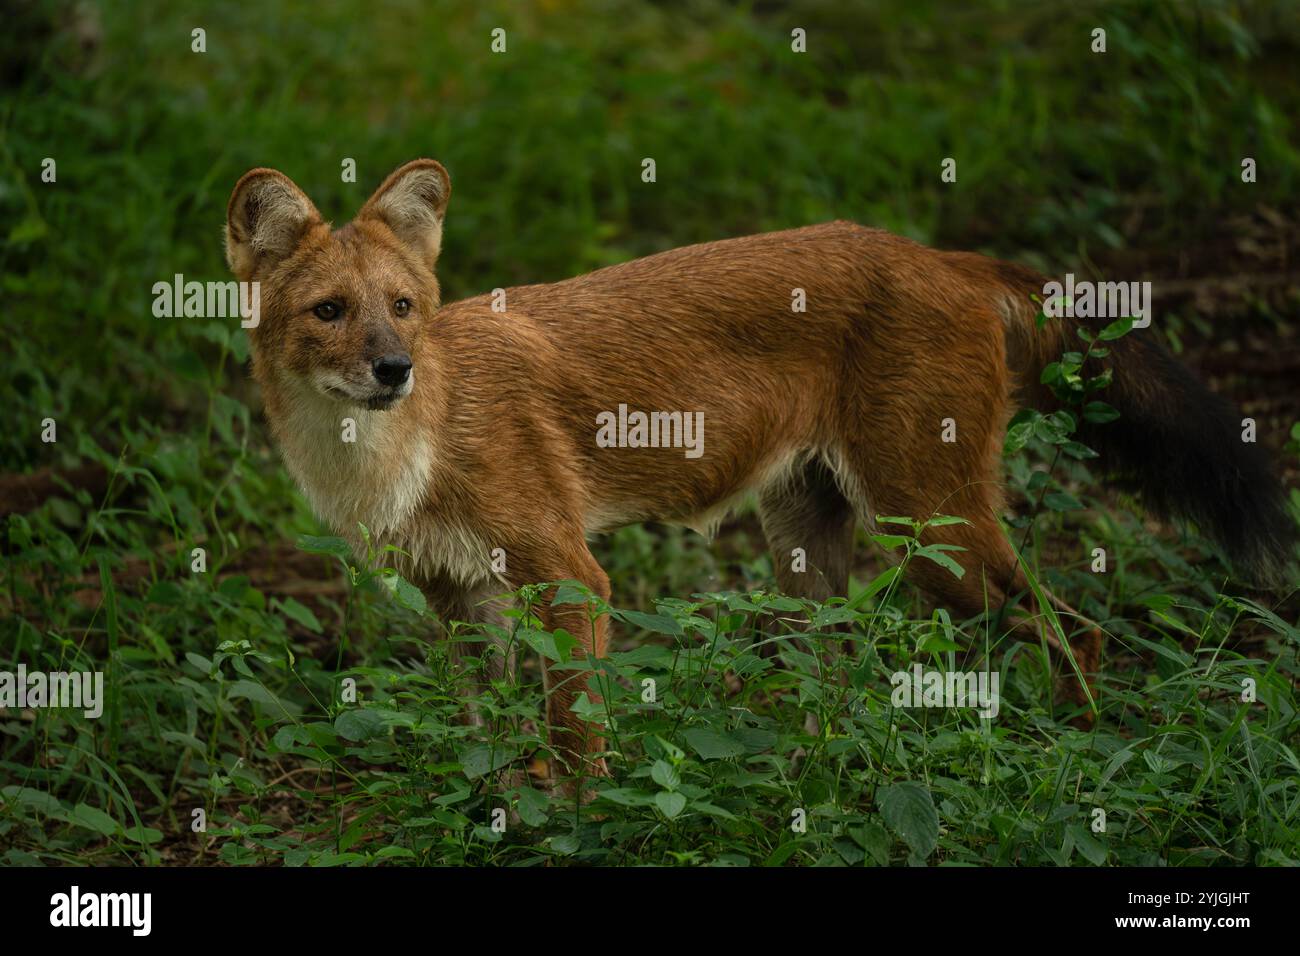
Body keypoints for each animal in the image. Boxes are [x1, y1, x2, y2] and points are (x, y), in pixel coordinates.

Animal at [223, 160, 1289, 780]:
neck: (387, 458)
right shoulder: (457, 598)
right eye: (330, 312)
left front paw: (577, 825)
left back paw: (1079, 750)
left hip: (932, 530)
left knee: (1081, 629)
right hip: (808, 545)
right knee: (836, 678)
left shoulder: (569, 575)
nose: (393, 368)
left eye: (404, 306)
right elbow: (490, 738)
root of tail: (949, 255)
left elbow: (577, 740)